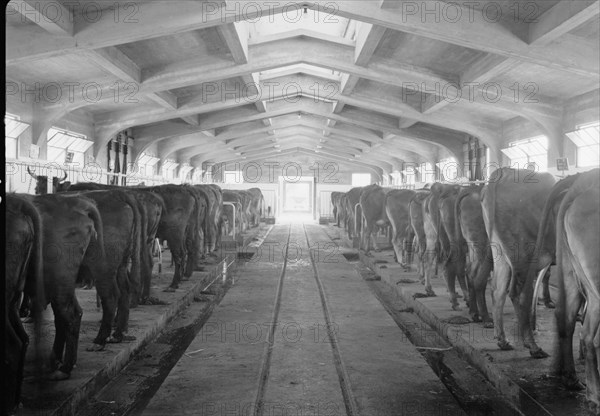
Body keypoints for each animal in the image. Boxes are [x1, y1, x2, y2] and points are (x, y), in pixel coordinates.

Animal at [25, 193, 104, 378]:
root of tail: (78, 203)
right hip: (62, 285)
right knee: (67, 315)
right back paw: (56, 361)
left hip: (60, 280)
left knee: (70, 314)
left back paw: (64, 367)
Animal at [458, 184, 494, 324]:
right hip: (483, 248)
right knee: (479, 279)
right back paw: (485, 317)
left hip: (474, 248)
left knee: (470, 273)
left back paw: (474, 312)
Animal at [480, 166, 556, 358]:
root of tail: (505, 172)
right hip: (524, 254)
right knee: (518, 294)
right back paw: (533, 346)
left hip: (502, 254)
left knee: (498, 290)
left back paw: (503, 340)